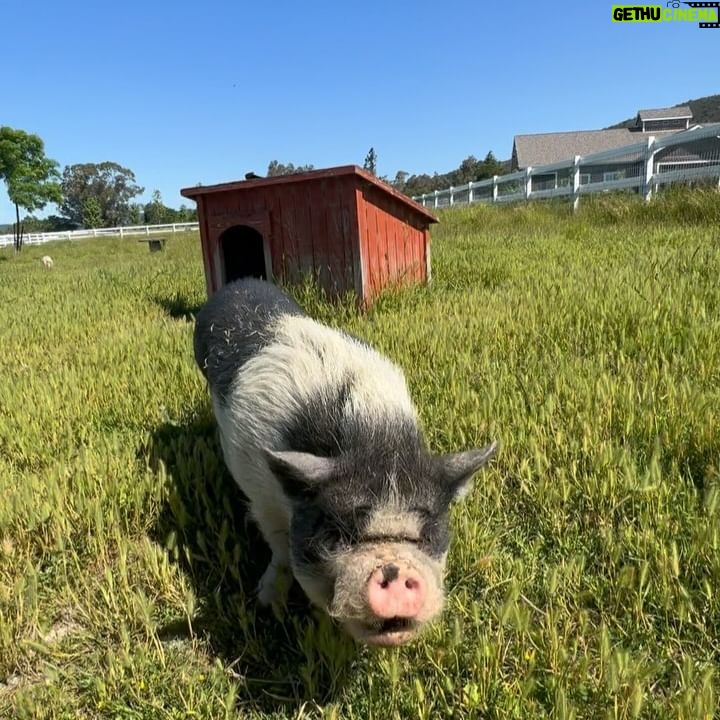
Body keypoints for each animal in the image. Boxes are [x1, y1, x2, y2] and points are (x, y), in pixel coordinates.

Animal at [191, 278, 498, 648]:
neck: (372, 434)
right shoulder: (261, 496)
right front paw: (266, 603)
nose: (395, 570)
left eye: (426, 535)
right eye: (338, 533)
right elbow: (280, 551)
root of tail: (241, 284)